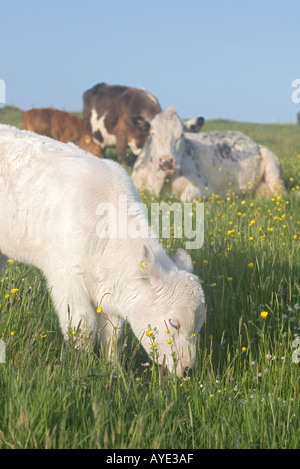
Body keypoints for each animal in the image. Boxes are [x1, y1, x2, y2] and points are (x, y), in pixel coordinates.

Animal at [132, 107, 284, 202]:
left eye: (181, 135)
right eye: (153, 134)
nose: (166, 161)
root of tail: (255, 143)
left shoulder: (204, 186)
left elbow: (184, 198)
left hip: (275, 175)